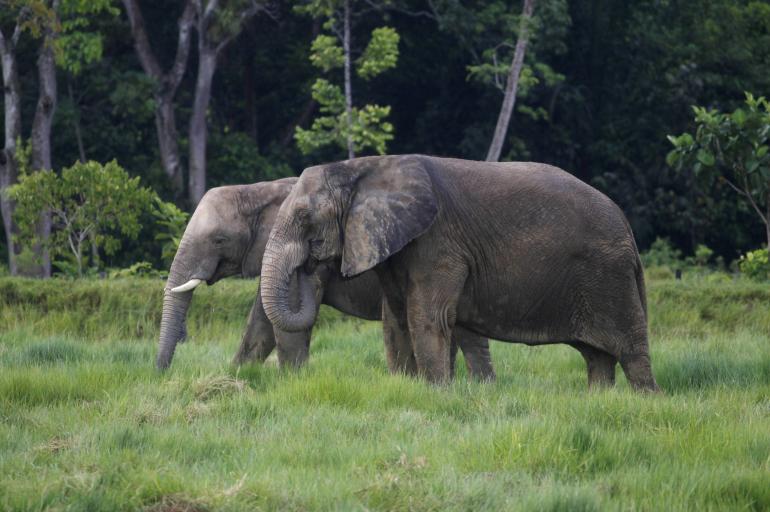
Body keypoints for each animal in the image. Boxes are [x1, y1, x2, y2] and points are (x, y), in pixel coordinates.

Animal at [153, 176, 496, 380]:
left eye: (219, 240)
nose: (160, 373)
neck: (257, 190)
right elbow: (261, 321)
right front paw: (238, 375)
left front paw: (291, 383)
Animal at [260, 154, 660, 390]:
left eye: (304, 217)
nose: (311, 263)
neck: (363, 168)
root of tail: (627, 227)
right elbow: (397, 318)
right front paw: (409, 387)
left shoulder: (439, 243)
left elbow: (426, 316)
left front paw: (436, 391)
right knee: (597, 356)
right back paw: (599, 398)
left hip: (608, 277)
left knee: (630, 351)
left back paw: (645, 400)